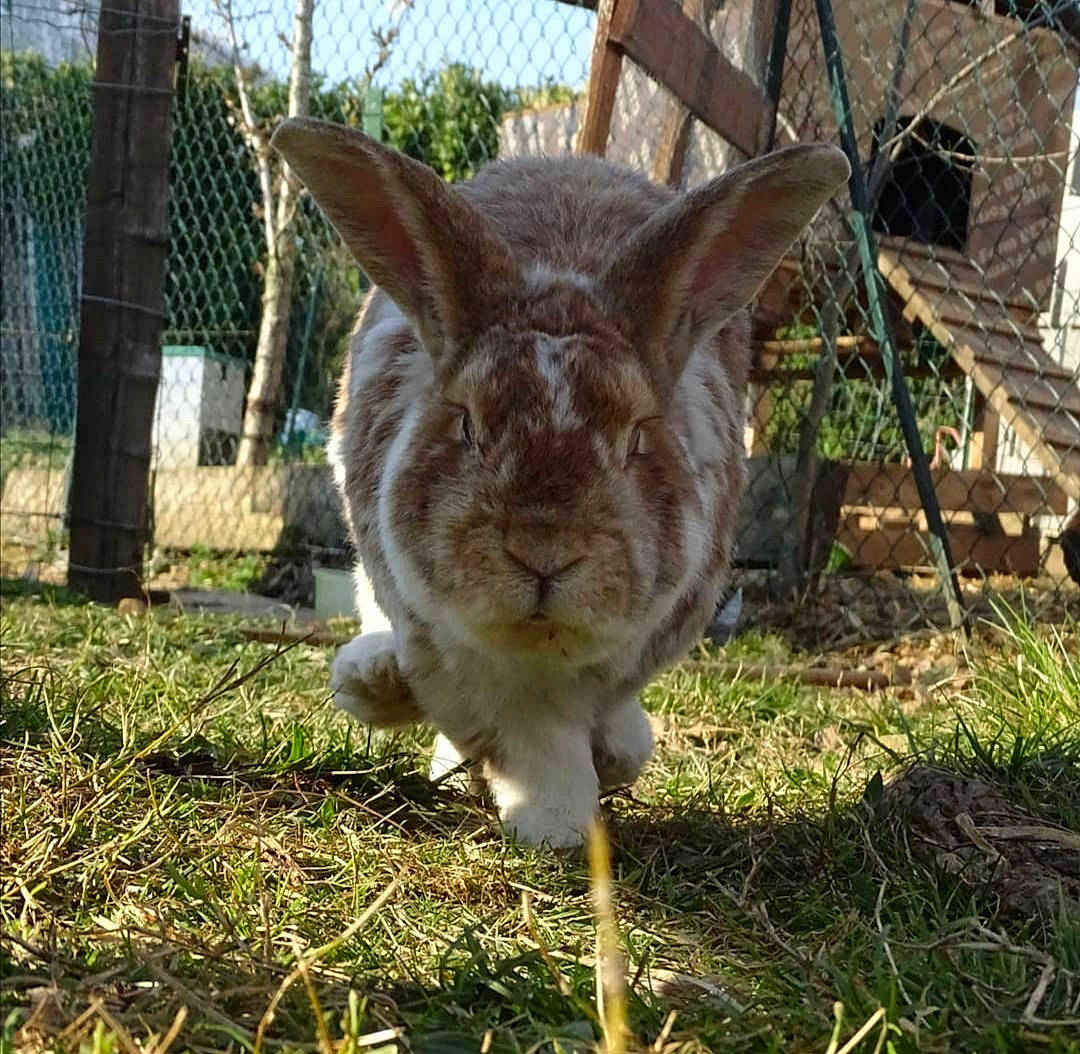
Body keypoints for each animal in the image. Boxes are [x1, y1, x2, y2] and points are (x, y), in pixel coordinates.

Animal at [271, 117, 849, 847]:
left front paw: (568, 809)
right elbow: (528, 736)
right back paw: (373, 678)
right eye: (468, 423)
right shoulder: (445, 647)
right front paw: (555, 822)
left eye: (636, 435)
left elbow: (563, 730)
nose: (544, 554)